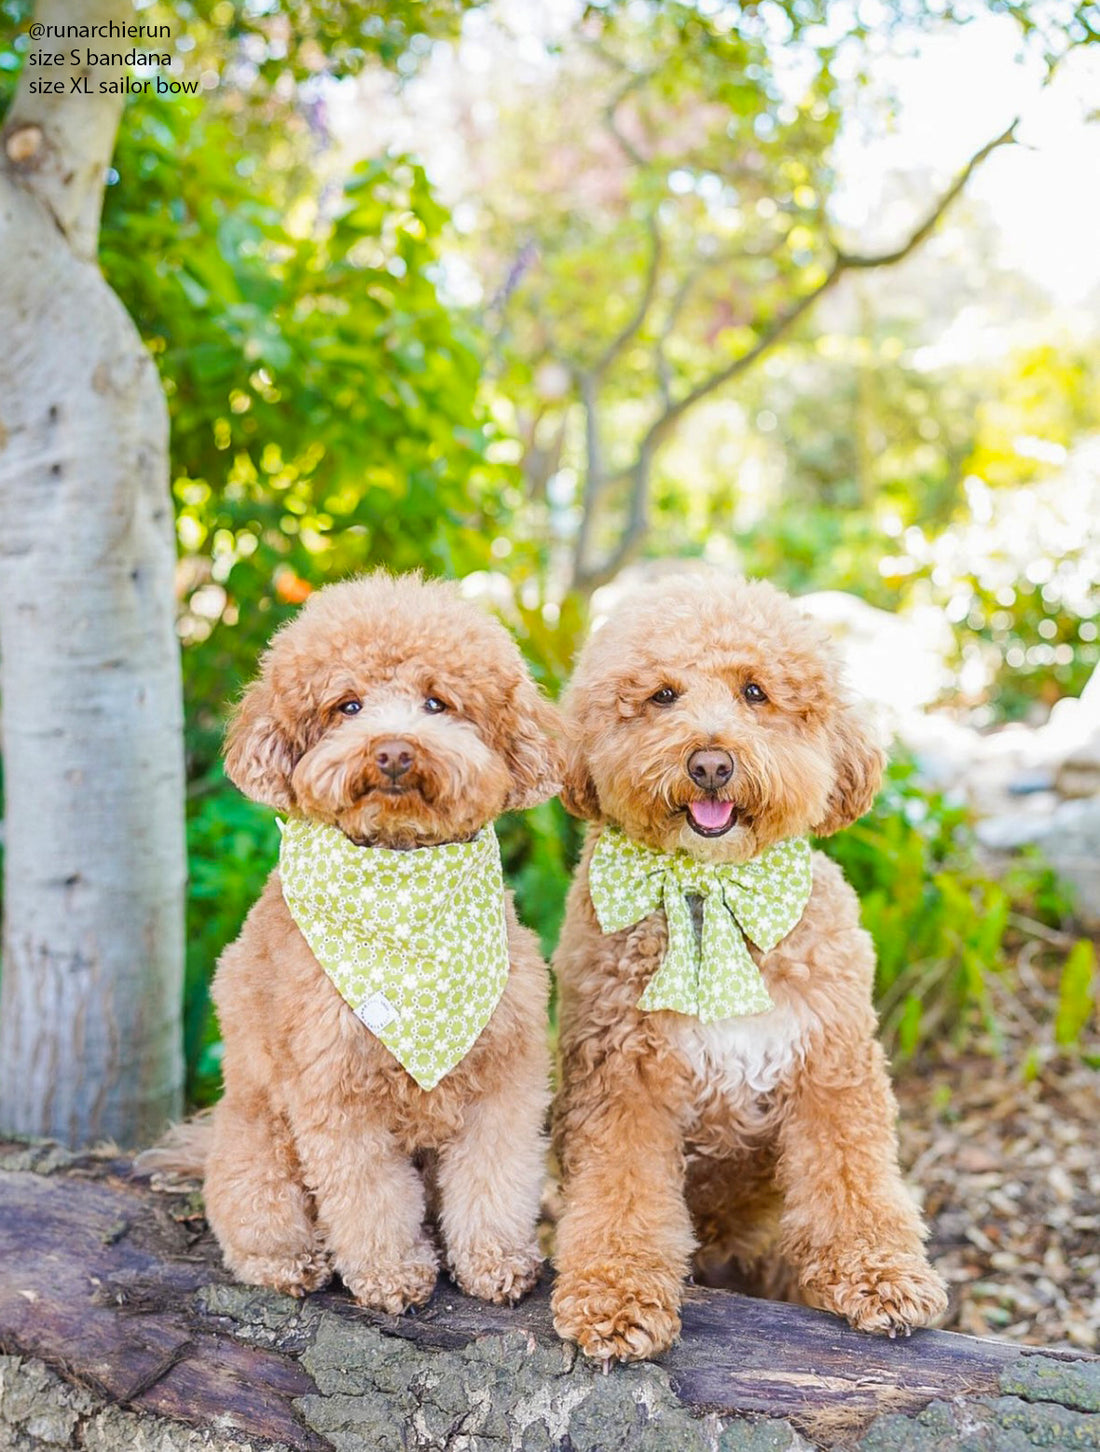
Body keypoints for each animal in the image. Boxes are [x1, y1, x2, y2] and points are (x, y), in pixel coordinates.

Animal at [178, 574, 568, 1318]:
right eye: (346, 705)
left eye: (438, 702)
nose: (392, 751)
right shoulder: (335, 1090)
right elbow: (370, 1197)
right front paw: (391, 1275)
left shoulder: (504, 1075)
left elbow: (496, 1176)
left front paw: (496, 1261)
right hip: (258, 1143)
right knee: (253, 1216)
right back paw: (288, 1262)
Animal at [554, 574, 951, 1359]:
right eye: (662, 695)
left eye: (756, 692)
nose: (710, 763)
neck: (713, 885)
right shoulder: (621, 1081)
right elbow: (621, 1193)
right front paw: (613, 1297)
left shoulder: (832, 1066)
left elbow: (853, 1179)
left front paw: (881, 1276)